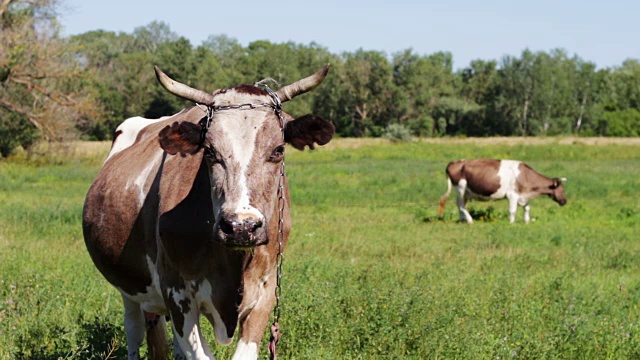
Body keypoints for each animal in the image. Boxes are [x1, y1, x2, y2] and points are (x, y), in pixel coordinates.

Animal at [82, 65, 336, 360]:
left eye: (278, 150)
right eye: (210, 151)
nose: (240, 227)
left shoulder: (266, 289)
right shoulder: (176, 293)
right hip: (129, 288)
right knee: (134, 331)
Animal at [438, 159, 568, 224]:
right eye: (561, 189)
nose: (564, 201)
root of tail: (454, 162)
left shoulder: (522, 195)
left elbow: (527, 207)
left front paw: (526, 221)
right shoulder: (512, 195)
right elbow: (512, 210)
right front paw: (511, 223)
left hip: (465, 191)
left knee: (461, 205)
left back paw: (462, 220)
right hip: (460, 187)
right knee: (461, 204)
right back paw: (469, 220)